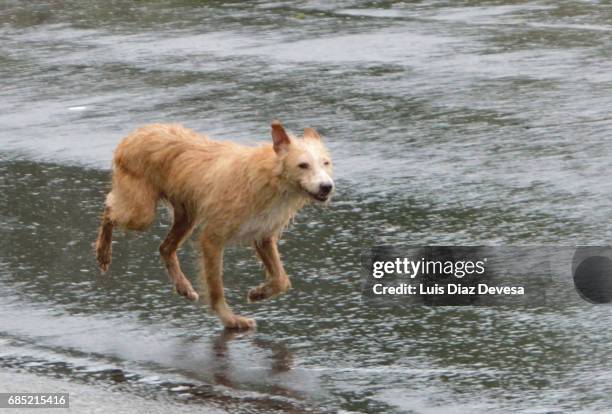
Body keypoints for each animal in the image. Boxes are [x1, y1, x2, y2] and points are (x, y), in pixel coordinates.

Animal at [94, 120, 334, 330]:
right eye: (303, 165)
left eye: (326, 162)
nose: (327, 187)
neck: (270, 179)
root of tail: (133, 134)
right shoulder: (212, 239)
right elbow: (216, 287)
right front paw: (230, 319)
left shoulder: (263, 236)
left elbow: (282, 280)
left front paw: (259, 293)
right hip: (142, 213)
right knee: (109, 209)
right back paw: (103, 251)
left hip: (186, 215)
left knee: (165, 247)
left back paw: (183, 287)